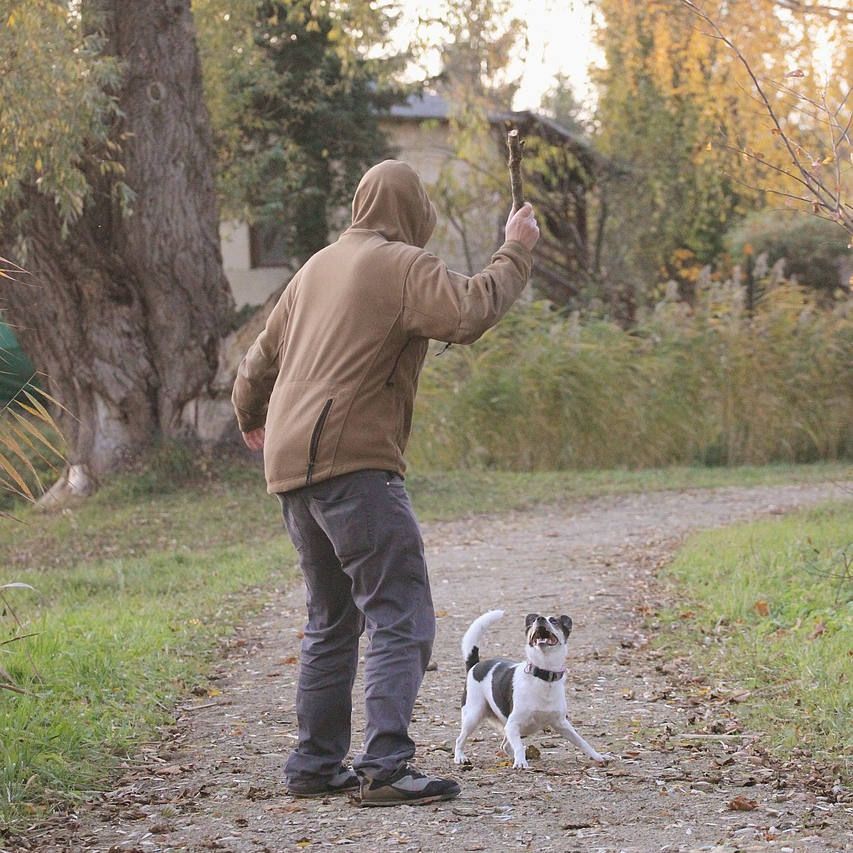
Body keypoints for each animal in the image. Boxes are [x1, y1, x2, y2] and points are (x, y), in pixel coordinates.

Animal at [452, 608, 604, 768]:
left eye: (554, 621)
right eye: (534, 620)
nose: (540, 619)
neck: (543, 675)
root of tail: (475, 665)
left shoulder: (561, 723)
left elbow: (582, 742)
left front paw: (598, 757)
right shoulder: (512, 725)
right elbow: (519, 746)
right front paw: (520, 762)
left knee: (505, 745)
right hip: (473, 715)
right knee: (460, 739)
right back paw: (460, 757)